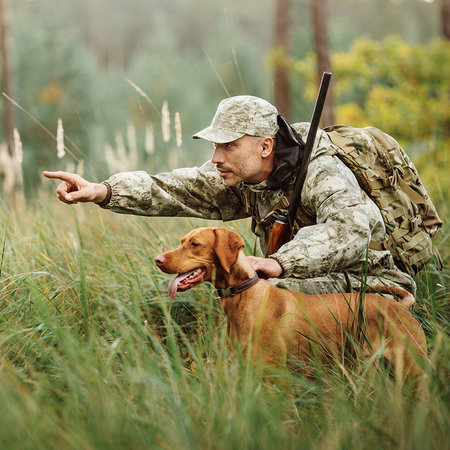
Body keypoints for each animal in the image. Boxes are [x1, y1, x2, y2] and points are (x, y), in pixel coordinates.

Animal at [156, 227, 428, 378]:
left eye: (195, 244)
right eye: (182, 241)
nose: (158, 260)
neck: (244, 295)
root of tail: (400, 307)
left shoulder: (273, 374)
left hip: (412, 369)